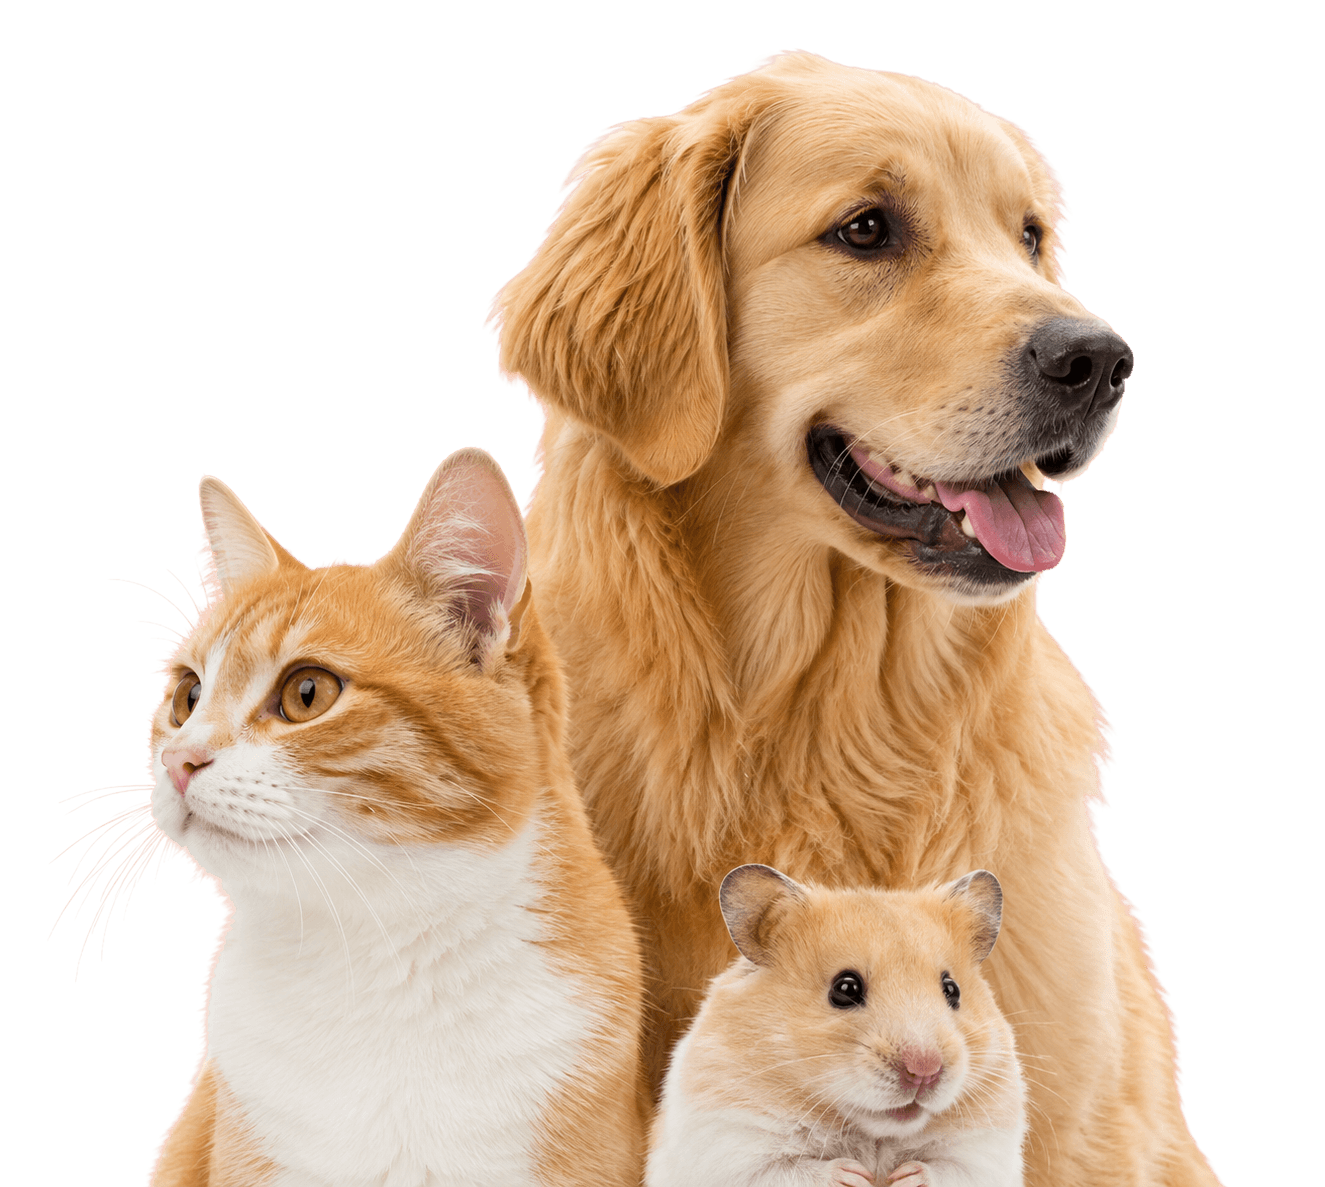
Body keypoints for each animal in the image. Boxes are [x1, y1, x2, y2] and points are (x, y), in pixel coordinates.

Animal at [646, 866, 1025, 1187]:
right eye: (845, 989)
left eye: (952, 990)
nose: (924, 1072)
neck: (873, 1132)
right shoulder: (728, 1145)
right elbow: (789, 1172)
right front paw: (853, 1175)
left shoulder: (986, 1154)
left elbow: (949, 1171)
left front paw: (906, 1177)